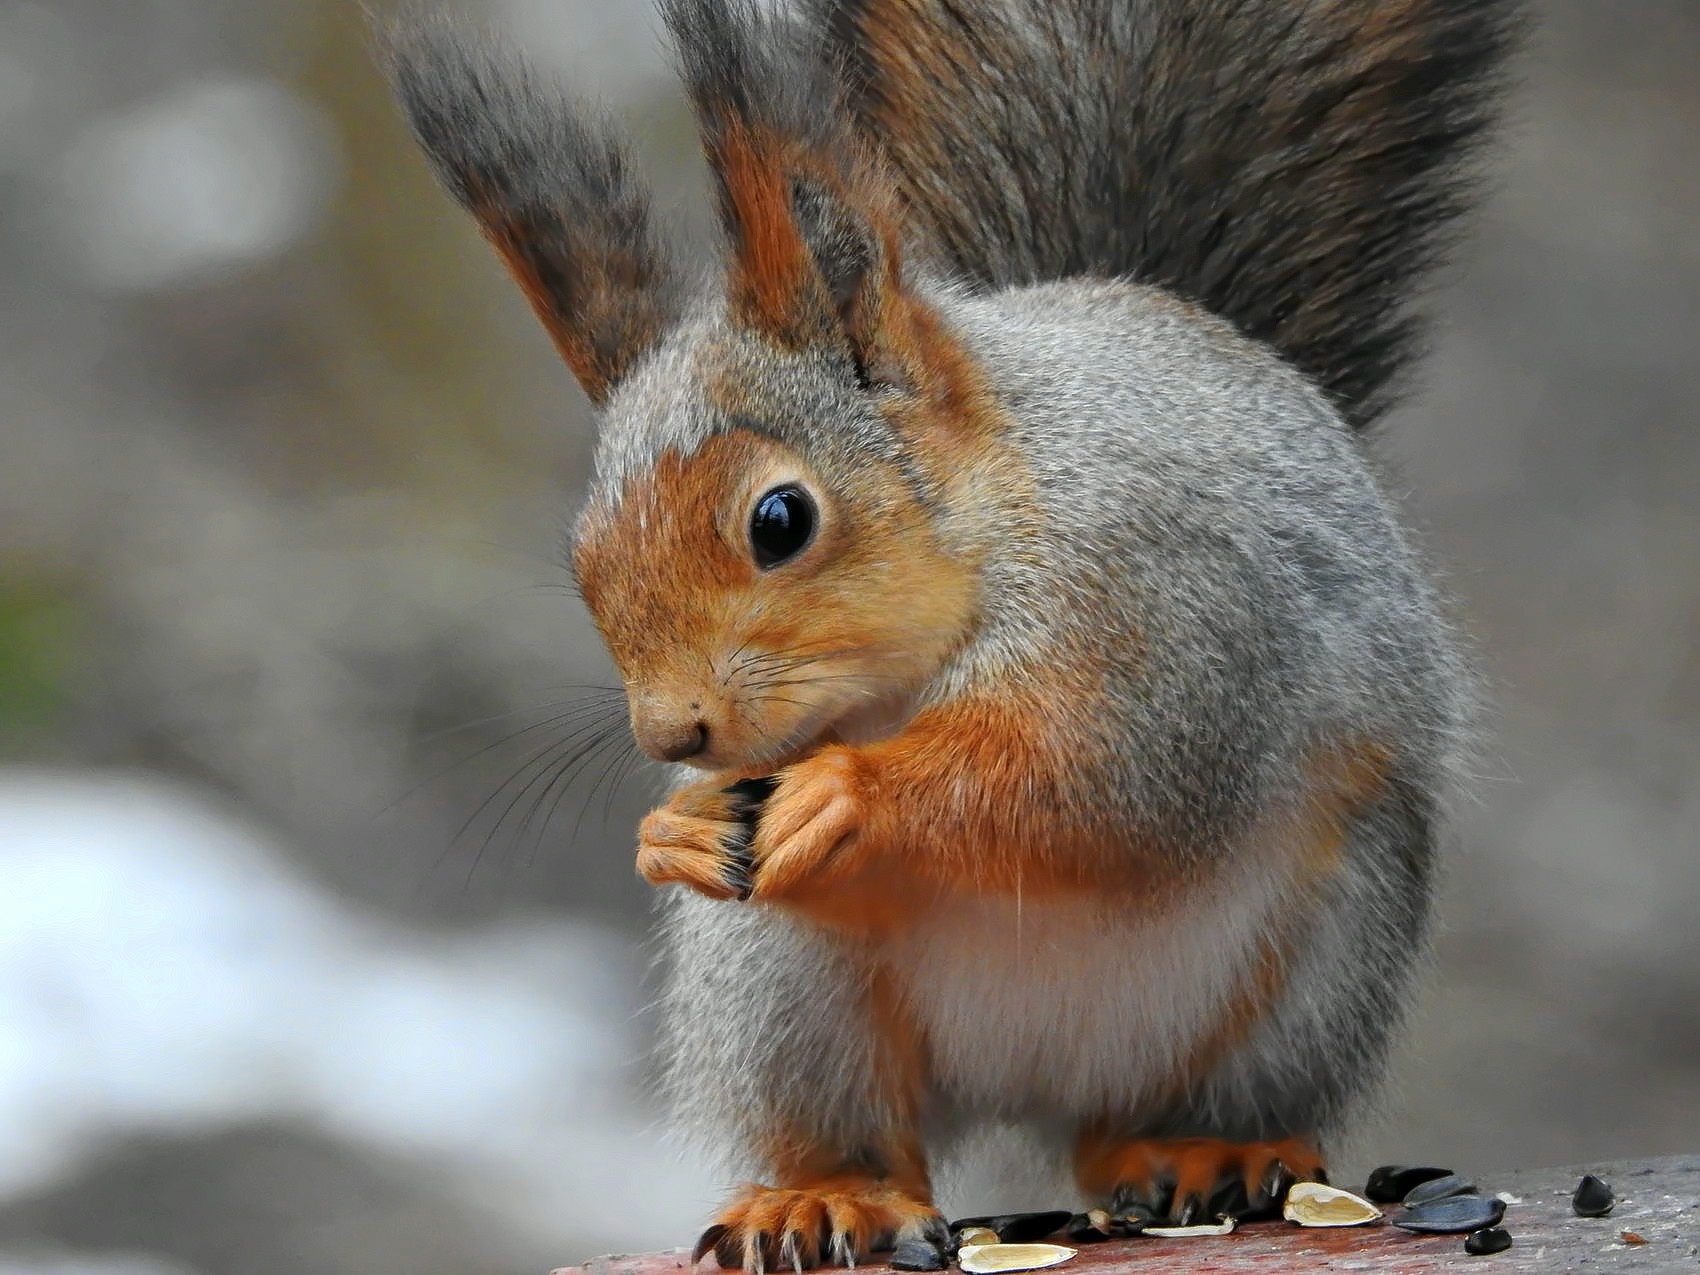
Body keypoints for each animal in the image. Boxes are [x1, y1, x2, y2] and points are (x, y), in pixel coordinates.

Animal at [382, 0, 1516, 1271]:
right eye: (581, 559)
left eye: (780, 519)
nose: (673, 735)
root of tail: (1039, 1084)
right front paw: (671, 833)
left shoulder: (1168, 618)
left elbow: (1088, 781)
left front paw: (852, 795)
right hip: (781, 989)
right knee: (865, 1138)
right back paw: (821, 1198)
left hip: (1315, 962)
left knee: (1168, 1111)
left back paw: (1204, 1151)